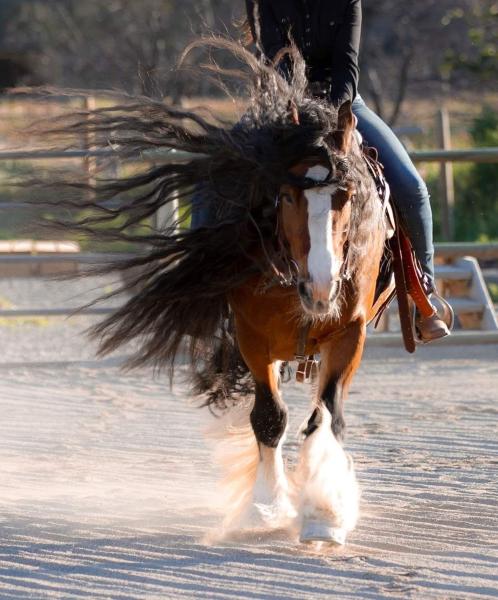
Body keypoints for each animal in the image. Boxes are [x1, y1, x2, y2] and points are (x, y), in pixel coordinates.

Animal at [19, 37, 392, 544]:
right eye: (286, 195)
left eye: (348, 195)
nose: (320, 286)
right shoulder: (252, 337)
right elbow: (269, 418)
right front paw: (263, 509)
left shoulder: (350, 332)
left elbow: (327, 415)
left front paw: (324, 514)